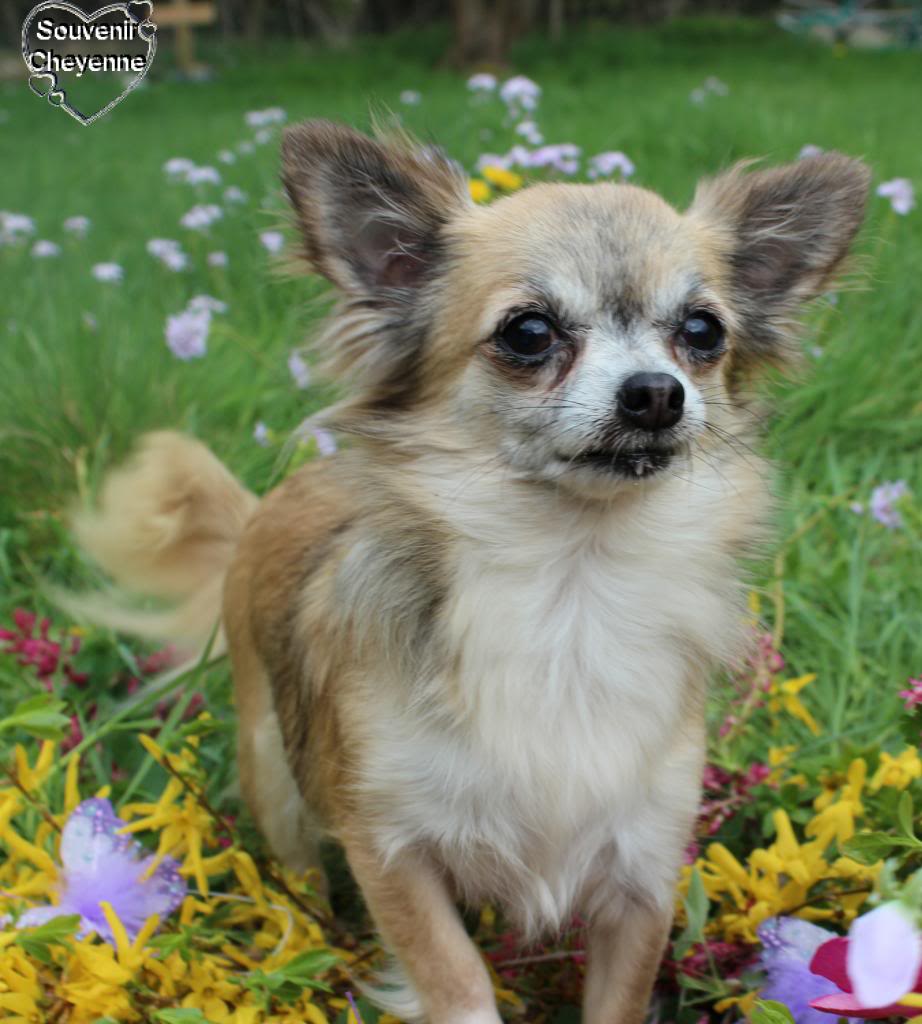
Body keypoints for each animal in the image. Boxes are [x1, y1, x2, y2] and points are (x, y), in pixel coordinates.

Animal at [73, 121, 872, 1024]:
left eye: (703, 333)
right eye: (528, 332)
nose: (656, 392)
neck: (571, 588)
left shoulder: (641, 872)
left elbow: (618, 997)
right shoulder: (391, 849)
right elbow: (454, 980)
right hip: (274, 770)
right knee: (295, 872)